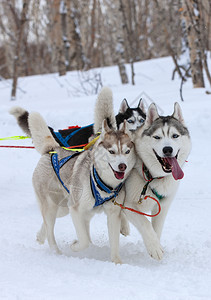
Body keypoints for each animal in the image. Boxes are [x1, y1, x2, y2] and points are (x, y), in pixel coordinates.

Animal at [28, 109, 136, 262]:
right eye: (112, 151)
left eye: (127, 151)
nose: (123, 166)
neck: (102, 183)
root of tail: (52, 149)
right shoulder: (76, 210)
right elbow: (84, 240)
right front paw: (75, 245)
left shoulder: (113, 213)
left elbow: (114, 242)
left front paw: (117, 262)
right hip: (53, 206)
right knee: (50, 230)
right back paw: (56, 252)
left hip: (63, 207)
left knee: (47, 223)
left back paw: (40, 236)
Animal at [122, 103, 193, 260]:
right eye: (157, 137)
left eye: (175, 136)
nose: (167, 149)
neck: (151, 176)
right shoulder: (128, 205)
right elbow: (145, 224)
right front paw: (154, 247)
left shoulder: (163, 207)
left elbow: (156, 229)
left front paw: (155, 244)